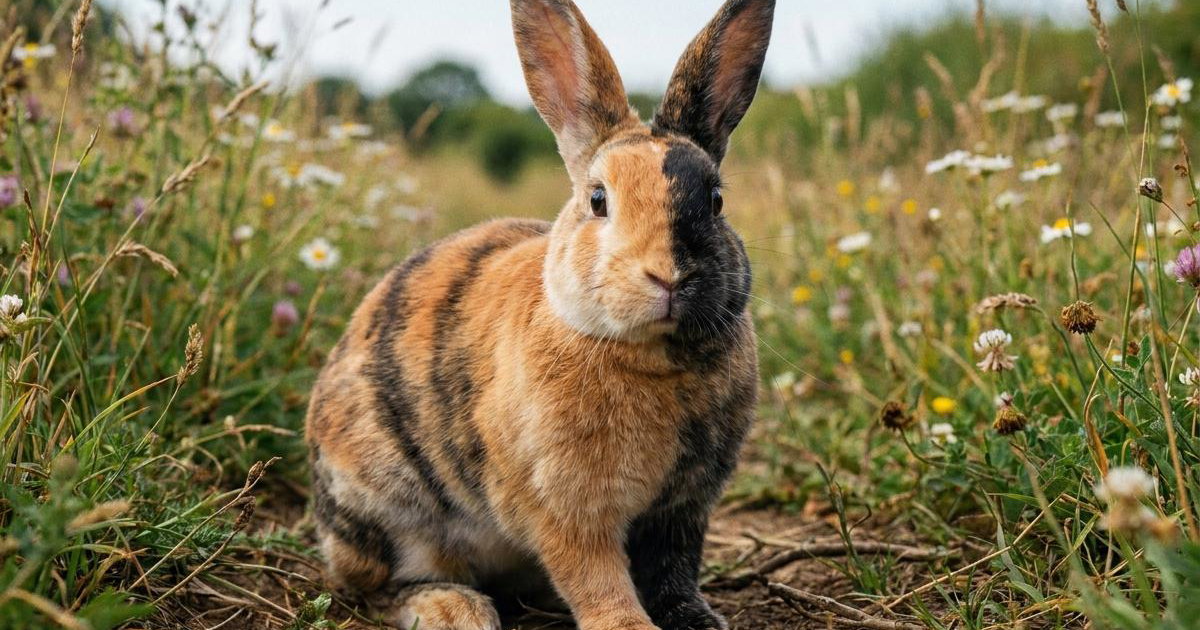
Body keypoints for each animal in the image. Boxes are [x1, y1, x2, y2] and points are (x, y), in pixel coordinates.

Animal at [305, 0, 775, 628]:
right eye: (598, 200)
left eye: (717, 200)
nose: (667, 277)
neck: (654, 353)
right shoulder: (563, 509)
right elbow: (595, 577)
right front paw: (627, 624)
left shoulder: (682, 510)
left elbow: (674, 574)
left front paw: (698, 620)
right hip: (388, 510)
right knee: (375, 589)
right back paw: (455, 609)